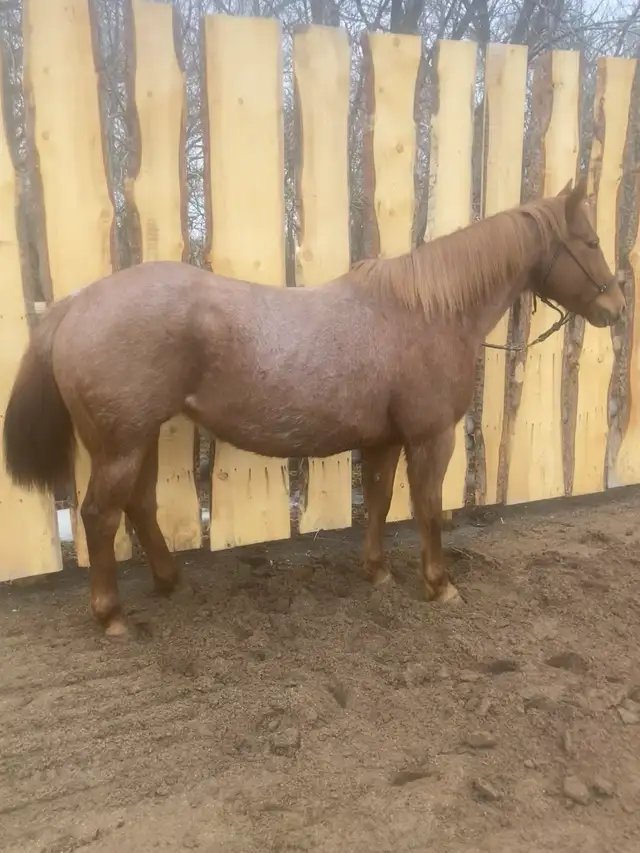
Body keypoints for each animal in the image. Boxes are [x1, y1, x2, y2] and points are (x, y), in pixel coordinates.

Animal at [3, 176, 624, 636]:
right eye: (591, 243)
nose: (617, 306)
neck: (425, 313)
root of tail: (77, 304)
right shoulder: (431, 437)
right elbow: (425, 509)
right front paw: (440, 585)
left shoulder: (383, 440)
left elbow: (378, 502)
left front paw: (378, 574)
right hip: (121, 445)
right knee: (100, 517)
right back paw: (112, 618)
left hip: (141, 438)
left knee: (140, 506)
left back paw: (170, 583)